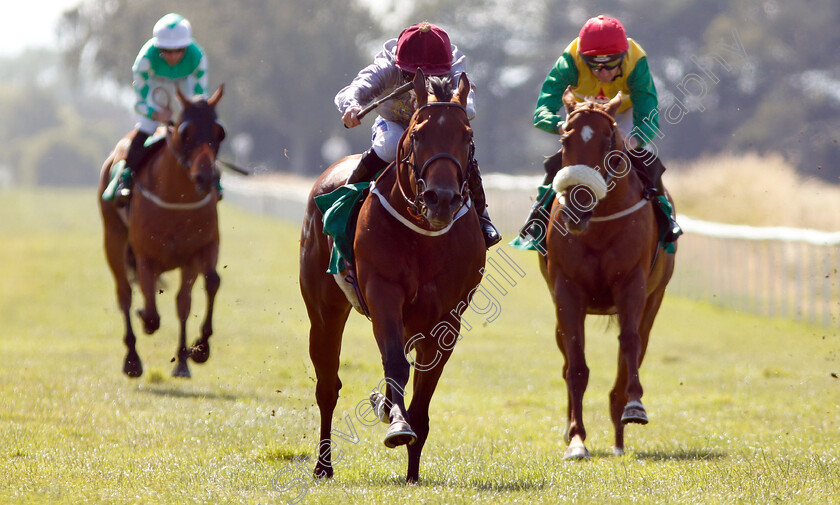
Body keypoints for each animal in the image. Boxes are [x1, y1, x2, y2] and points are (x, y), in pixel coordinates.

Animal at [98, 85, 226, 378]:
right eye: (185, 131)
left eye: (219, 132)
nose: (206, 177)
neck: (176, 201)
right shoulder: (146, 257)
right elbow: (151, 313)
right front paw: (145, 320)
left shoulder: (201, 249)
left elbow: (206, 286)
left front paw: (198, 350)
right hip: (113, 238)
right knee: (124, 294)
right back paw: (132, 360)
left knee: (181, 301)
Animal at [300, 70, 486, 480]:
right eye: (417, 134)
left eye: (468, 136)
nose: (442, 199)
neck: (424, 236)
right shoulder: (383, 292)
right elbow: (396, 365)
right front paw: (398, 425)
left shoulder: (447, 317)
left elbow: (425, 388)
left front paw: (413, 468)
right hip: (324, 309)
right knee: (327, 384)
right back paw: (323, 464)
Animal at [540, 88, 680, 458]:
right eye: (565, 138)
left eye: (608, 142)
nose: (577, 207)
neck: (599, 225)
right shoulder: (566, 290)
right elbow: (575, 365)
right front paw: (576, 439)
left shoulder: (632, 284)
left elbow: (629, 343)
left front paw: (635, 407)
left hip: (654, 300)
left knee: (635, 348)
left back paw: (619, 434)